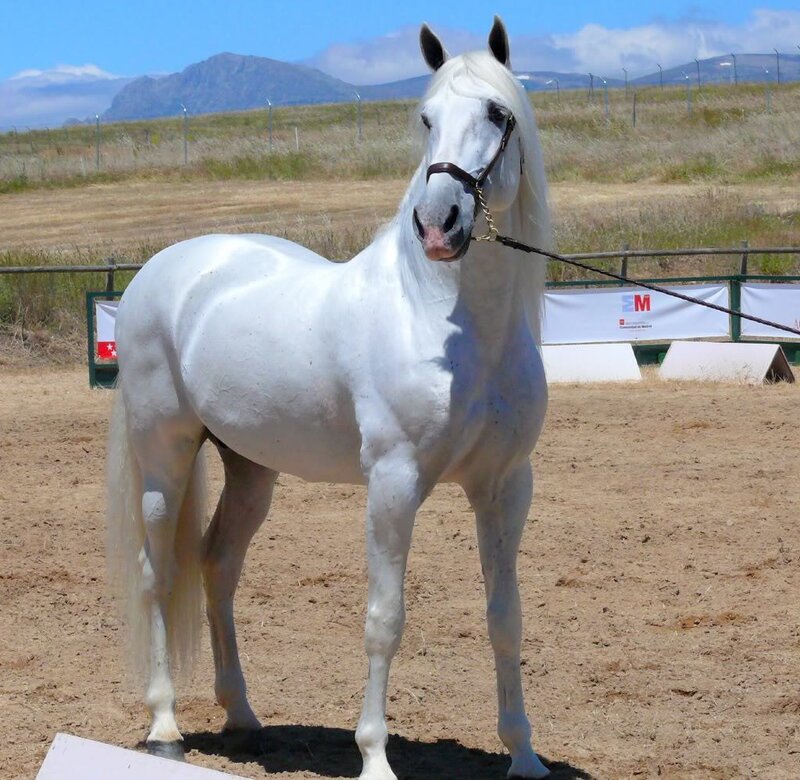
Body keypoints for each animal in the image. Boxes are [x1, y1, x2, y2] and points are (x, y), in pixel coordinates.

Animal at [106, 17, 553, 780]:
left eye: (499, 114)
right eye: (426, 118)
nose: (438, 224)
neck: (449, 323)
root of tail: (160, 271)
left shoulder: (504, 487)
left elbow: (506, 616)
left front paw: (522, 754)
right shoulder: (395, 484)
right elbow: (384, 619)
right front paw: (374, 756)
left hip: (251, 470)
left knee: (217, 567)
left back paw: (243, 717)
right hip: (165, 457)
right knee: (156, 574)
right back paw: (164, 725)